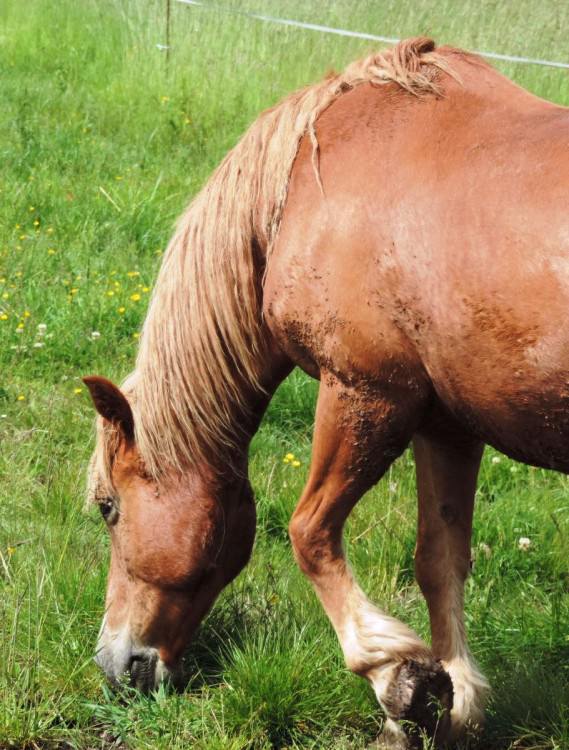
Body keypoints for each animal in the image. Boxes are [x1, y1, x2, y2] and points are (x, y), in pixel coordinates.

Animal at [83, 38, 568, 748]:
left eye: (109, 507)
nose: (115, 668)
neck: (305, 184)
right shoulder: (444, 424)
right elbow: (440, 558)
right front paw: (452, 702)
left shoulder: (366, 393)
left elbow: (309, 532)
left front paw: (396, 678)